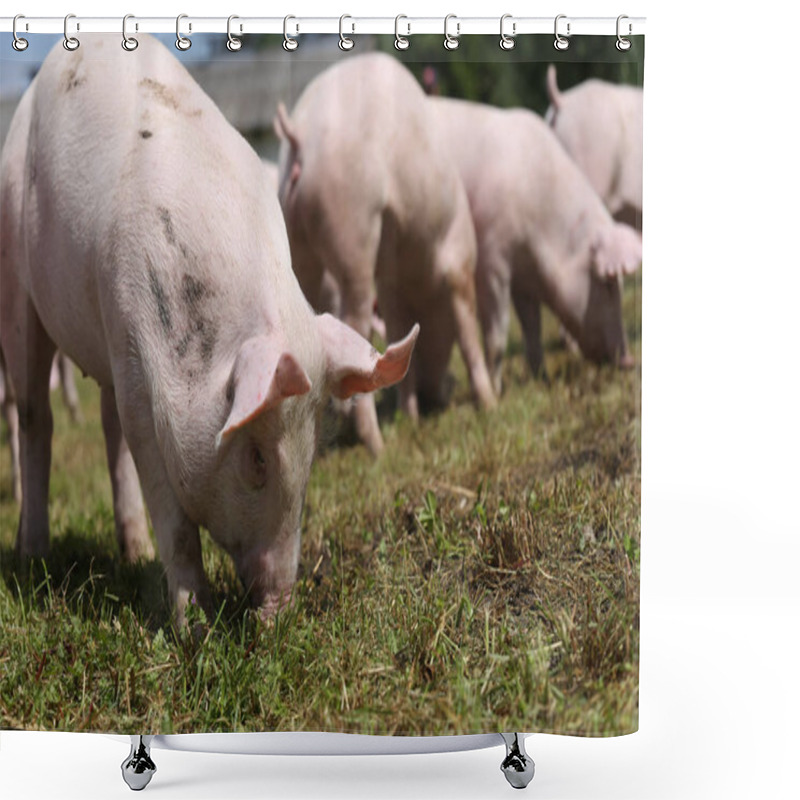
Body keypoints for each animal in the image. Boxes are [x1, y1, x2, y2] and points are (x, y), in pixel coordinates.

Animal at [1, 34, 418, 624]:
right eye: (257, 458)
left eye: (313, 446)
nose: (278, 609)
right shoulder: (139, 364)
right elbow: (167, 502)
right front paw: (194, 627)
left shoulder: (124, 338)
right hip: (16, 278)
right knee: (36, 414)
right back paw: (33, 558)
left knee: (105, 427)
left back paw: (133, 552)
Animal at [276, 51, 494, 456]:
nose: (437, 395)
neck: (418, 276)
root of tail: (300, 134)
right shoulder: (458, 261)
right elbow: (468, 329)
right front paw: (490, 405)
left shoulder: (391, 286)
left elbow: (395, 328)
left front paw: (410, 416)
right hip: (352, 223)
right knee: (354, 319)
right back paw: (377, 447)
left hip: (297, 239)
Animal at [428, 97, 640, 394]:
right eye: (607, 283)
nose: (629, 360)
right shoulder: (493, 258)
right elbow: (498, 334)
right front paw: (498, 392)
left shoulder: (524, 278)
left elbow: (533, 330)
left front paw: (543, 381)